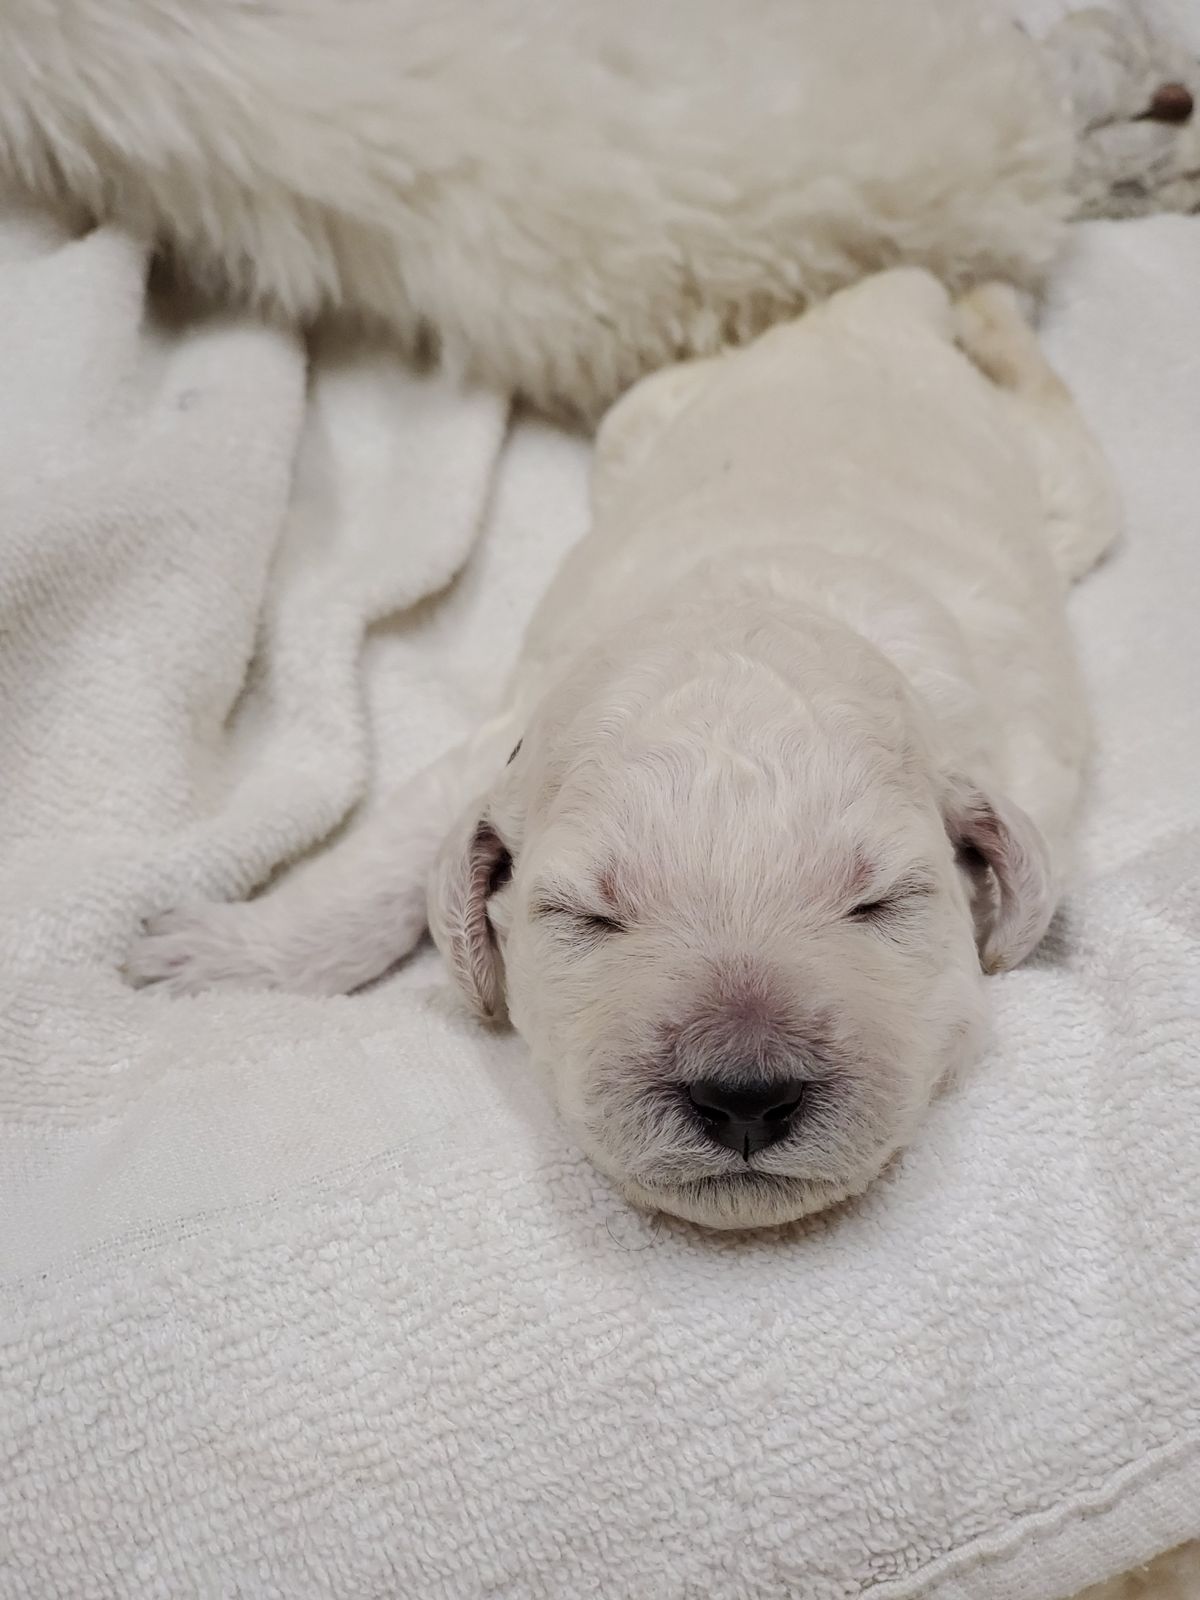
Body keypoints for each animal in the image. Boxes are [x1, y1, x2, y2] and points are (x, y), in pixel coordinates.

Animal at [127, 268, 1119, 1230]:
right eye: (585, 917)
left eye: (880, 905)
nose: (745, 1096)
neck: (760, 602)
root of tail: (875, 313)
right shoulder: (492, 752)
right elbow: (370, 877)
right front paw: (216, 955)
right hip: (643, 417)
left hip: (1062, 493)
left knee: (1049, 408)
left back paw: (996, 305)